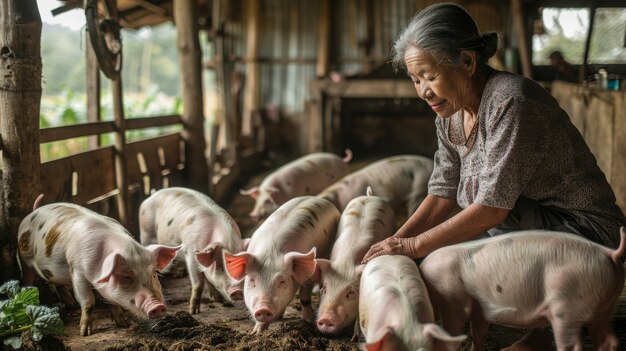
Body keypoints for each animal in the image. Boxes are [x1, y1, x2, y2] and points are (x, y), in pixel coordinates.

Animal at [17, 201, 178, 336]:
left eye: (154, 274)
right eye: (126, 277)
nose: (158, 306)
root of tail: (33, 211)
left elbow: (112, 301)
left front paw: (124, 324)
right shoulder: (77, 271)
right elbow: (89, 302)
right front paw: (85, 333)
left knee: (57, 284)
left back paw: (72, 305)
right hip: (24, 259)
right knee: (28, 280)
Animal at [222, 197, 338, 334]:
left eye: (282, 281)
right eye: (252, 281)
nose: (263, 309)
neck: (270, 254)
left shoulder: (308, 276)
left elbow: (304, 296)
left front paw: (308, 322)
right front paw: (256, 333)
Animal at [312, 188, 394, 340]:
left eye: (350, 292)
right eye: (325, 288)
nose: (326, 319)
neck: (346, 263)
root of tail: (370, 196)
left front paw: (354, 339)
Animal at [416, 230, 624, 350]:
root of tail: (609, 252)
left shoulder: (453, 304)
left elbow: (449, 335)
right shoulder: (479, 311)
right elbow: (478, 334)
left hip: (567, 304)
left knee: (572, 345)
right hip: (604, 306)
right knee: (608, 341)